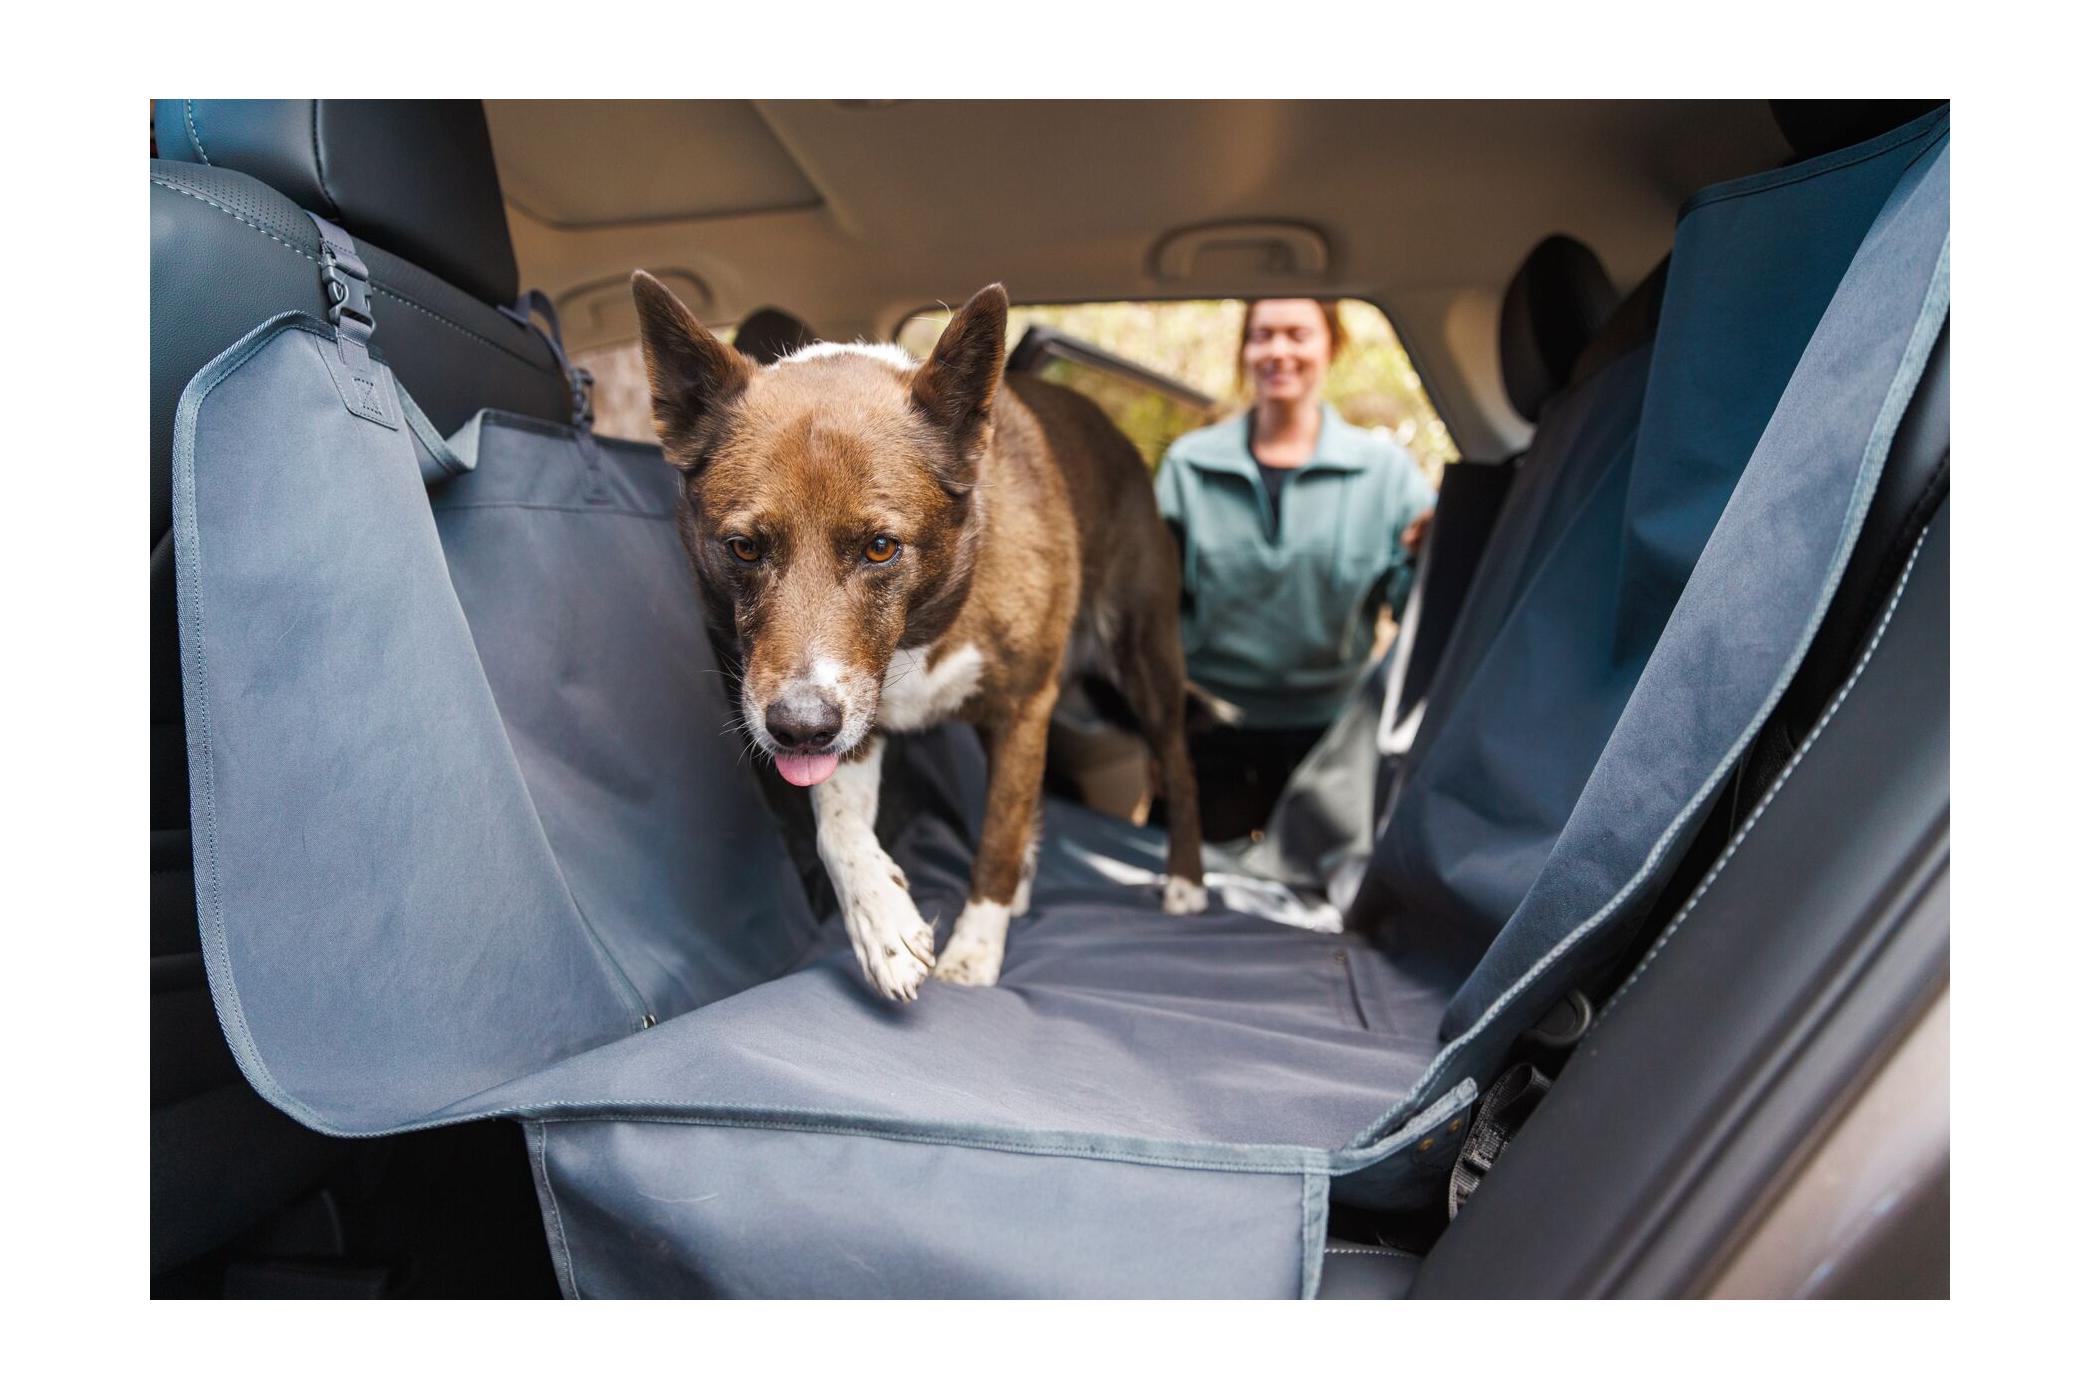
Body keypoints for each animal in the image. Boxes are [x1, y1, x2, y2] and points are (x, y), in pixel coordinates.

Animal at [632, 274, 1207, 1000]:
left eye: (881, 547)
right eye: (743, 547)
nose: (796, 731)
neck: (924, 624)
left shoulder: (1021, 708)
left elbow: (995, 839)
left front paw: (975, 952)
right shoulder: (851, 718)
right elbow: (837, 828)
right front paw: (883, 924)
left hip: (1144, 664)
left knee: (1177, 769)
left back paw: (1185, 884)